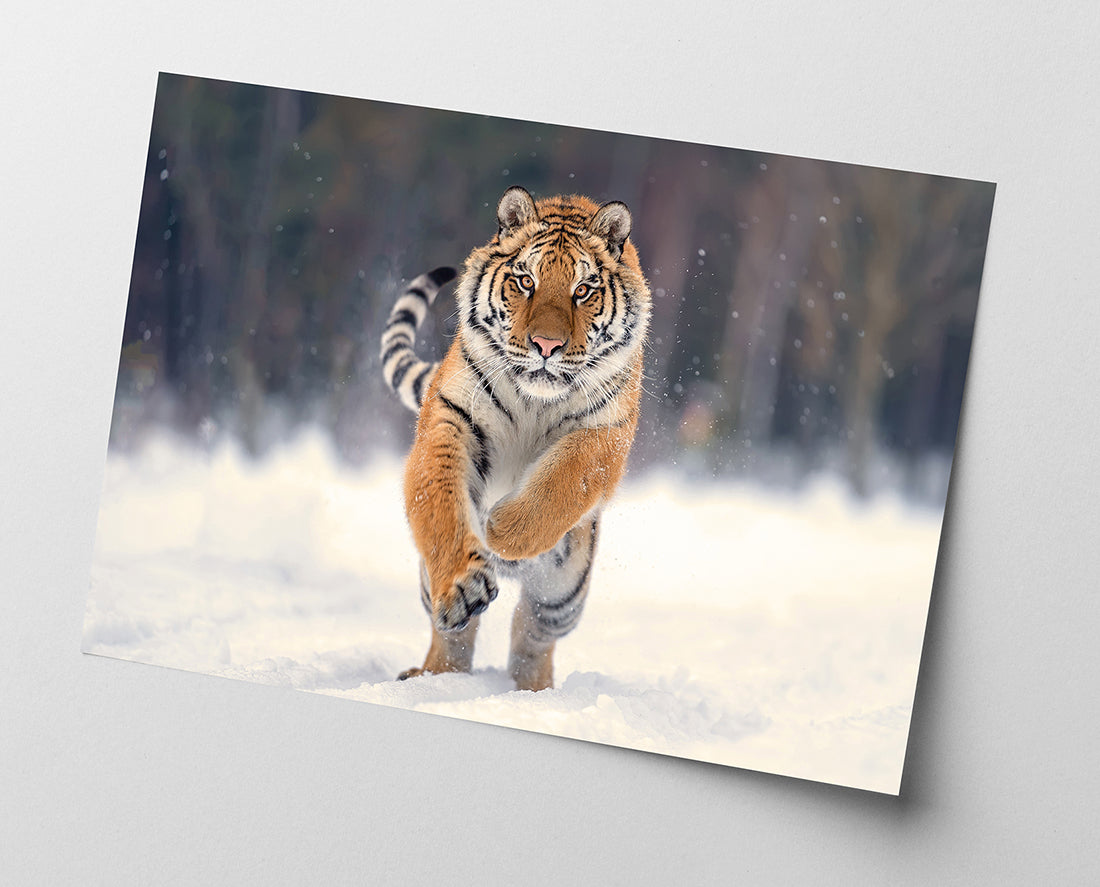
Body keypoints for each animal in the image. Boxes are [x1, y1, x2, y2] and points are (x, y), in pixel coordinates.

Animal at [380, 186, 651, 692]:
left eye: (582, 290)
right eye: (526, 281)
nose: (546, 346)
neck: (534, 400)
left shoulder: (604, 435)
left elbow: (563, 483)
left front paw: (501, 528)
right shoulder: (451, 419)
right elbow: (440, 502)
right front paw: (465, 581)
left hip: (563, 595)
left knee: (532, 634)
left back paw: (534, 693)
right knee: (453, 635)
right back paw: (434, 676)